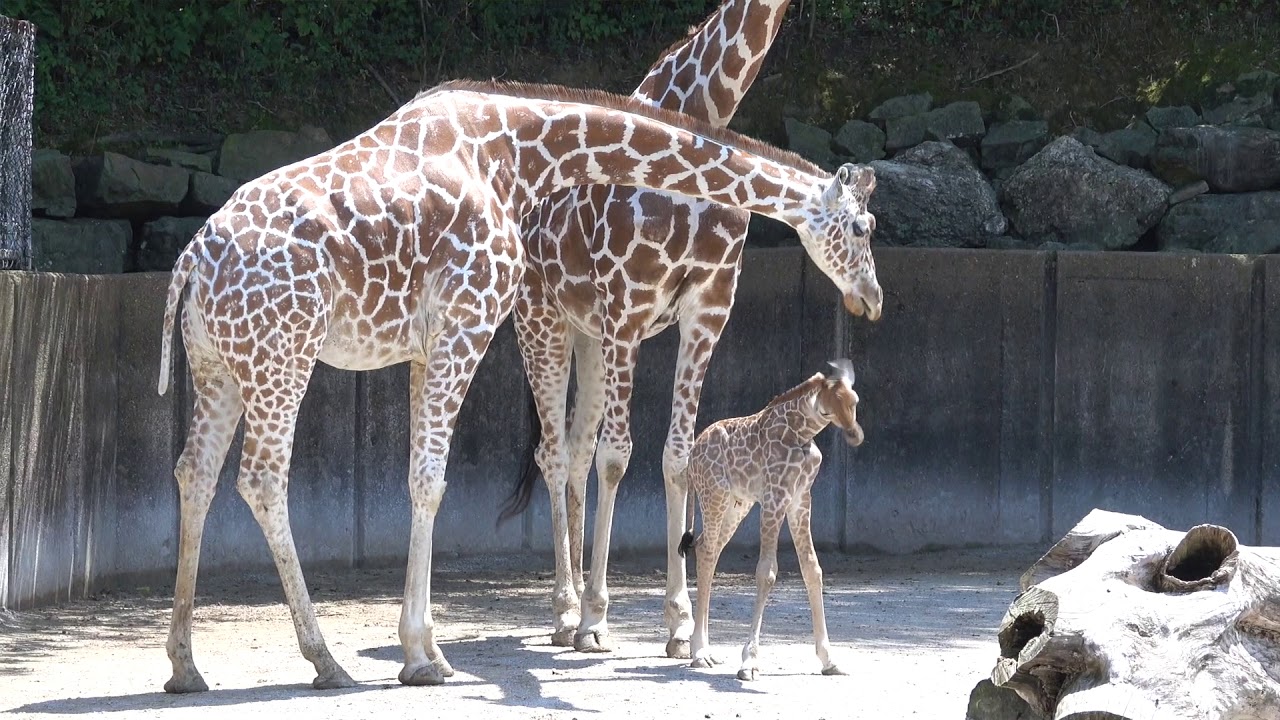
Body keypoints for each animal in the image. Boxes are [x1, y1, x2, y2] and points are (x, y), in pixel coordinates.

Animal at [677, 359, 863, 681]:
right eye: (831, 404)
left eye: (855, 402)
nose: (855, 435)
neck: (801, 432)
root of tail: (691, 458)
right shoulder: (775, 497)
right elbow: (767, 572)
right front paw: (749, 662)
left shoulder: (800, 498)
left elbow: (813, 569)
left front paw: (829, 660)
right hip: (714, 495)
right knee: (708, 550)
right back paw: (700, 653)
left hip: (737, 504)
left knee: (704, 548)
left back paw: (703, 650)